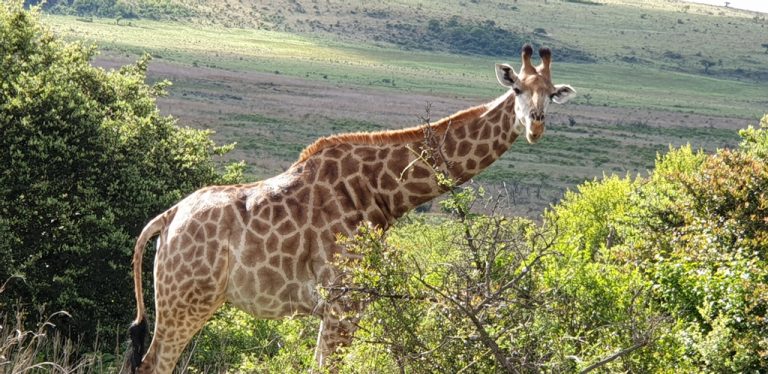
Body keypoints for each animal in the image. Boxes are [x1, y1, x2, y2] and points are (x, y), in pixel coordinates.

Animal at [123, 44, 572, 374]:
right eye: (516, 90)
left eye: (552, 94)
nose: (536, 125)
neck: (381, 193)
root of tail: (167, 218)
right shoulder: (343, 302)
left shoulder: (341, 306)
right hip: (186, 301)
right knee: (153, 364)